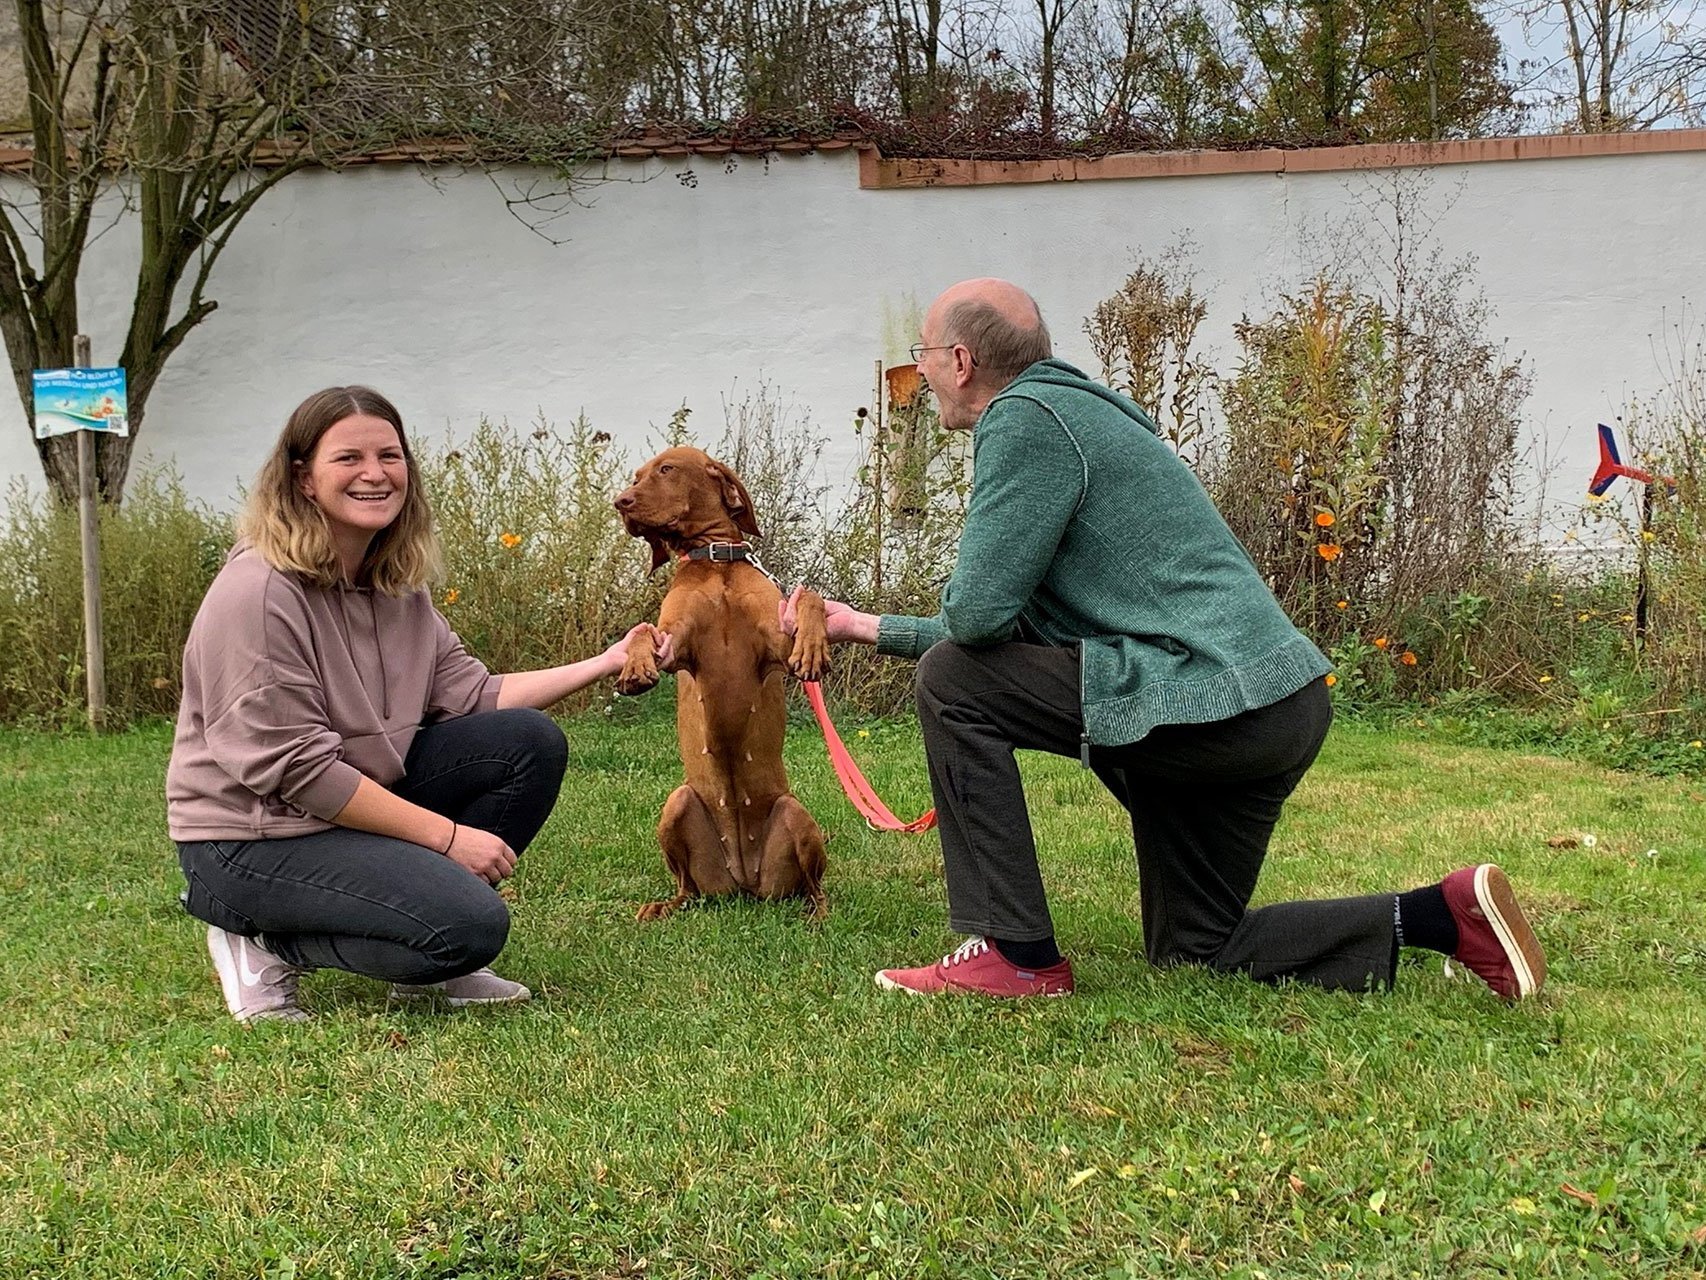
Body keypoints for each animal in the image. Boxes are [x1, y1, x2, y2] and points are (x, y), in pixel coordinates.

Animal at [614, 447, 832, 921]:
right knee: (687, 887)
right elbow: (642, 632)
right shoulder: (674, 645)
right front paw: (634, 669)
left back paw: (819, 914)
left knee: (814, 887)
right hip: (677, 805)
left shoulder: (776, 643)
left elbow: (810, 598)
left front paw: (813, 648)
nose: (621, 502)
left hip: (794, 813)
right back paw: (663, 907)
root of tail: (744, 880)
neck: (716, 562)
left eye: (666, 469)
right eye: (636, 476)